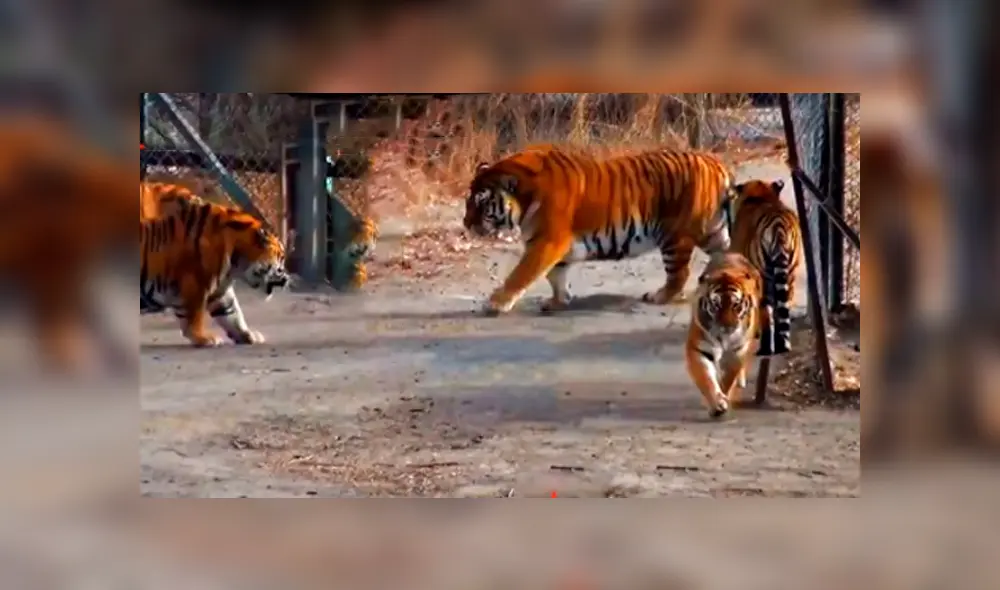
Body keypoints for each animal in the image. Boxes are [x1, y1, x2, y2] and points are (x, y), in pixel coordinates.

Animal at [140, 200, 290, 348]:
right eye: (281, 259)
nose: (287, 280)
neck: (235, 265)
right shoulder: (195, 285)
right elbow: (194, 316)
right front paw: (203, 338)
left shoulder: (221, 290)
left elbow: (232, 313)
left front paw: (248, 334)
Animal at [464, 146, 734, 314]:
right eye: (468, 201)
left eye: (481, 203)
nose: (466, 224)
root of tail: (715, 162)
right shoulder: (552, 245)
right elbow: (555, 275)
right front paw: (558, 301)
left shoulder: (548, 241)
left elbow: (521, 274)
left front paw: (495, 304)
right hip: (714, 232)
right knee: (729, 255)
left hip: (674, 237)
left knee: (680, 274)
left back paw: (658, 297)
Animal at [685, 251, 764, 418]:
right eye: (716, 305)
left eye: (736, 305)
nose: (727, 326)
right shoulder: (699, 349)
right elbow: (706, 378)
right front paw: (716, 404)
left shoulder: (737, 351)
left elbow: (728, 379)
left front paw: (724, 397)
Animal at [729, 178, 802, 357]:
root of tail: (779, 226)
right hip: (790, 275)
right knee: (781, 310)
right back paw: (783, 345)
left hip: (762, 277)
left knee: (765, 314)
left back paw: (765, 348)